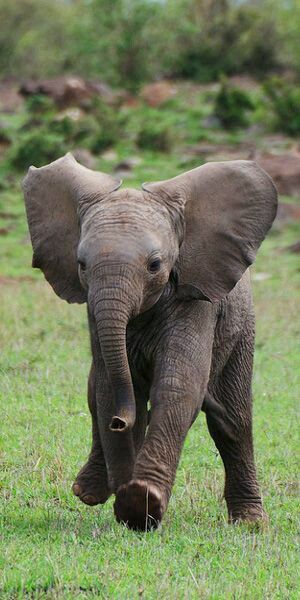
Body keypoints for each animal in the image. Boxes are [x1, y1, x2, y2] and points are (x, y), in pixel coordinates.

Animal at [22, 154, 278, 528]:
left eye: (155, 265)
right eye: (81, 264)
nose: (120, 422)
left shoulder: (197, 301)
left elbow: (177, 386)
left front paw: (139, 504)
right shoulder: (94, 312)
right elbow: (107, 390)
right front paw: (127, 502)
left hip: (241, 327)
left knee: (232, 420)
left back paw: (250, 523)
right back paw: (89, 492)